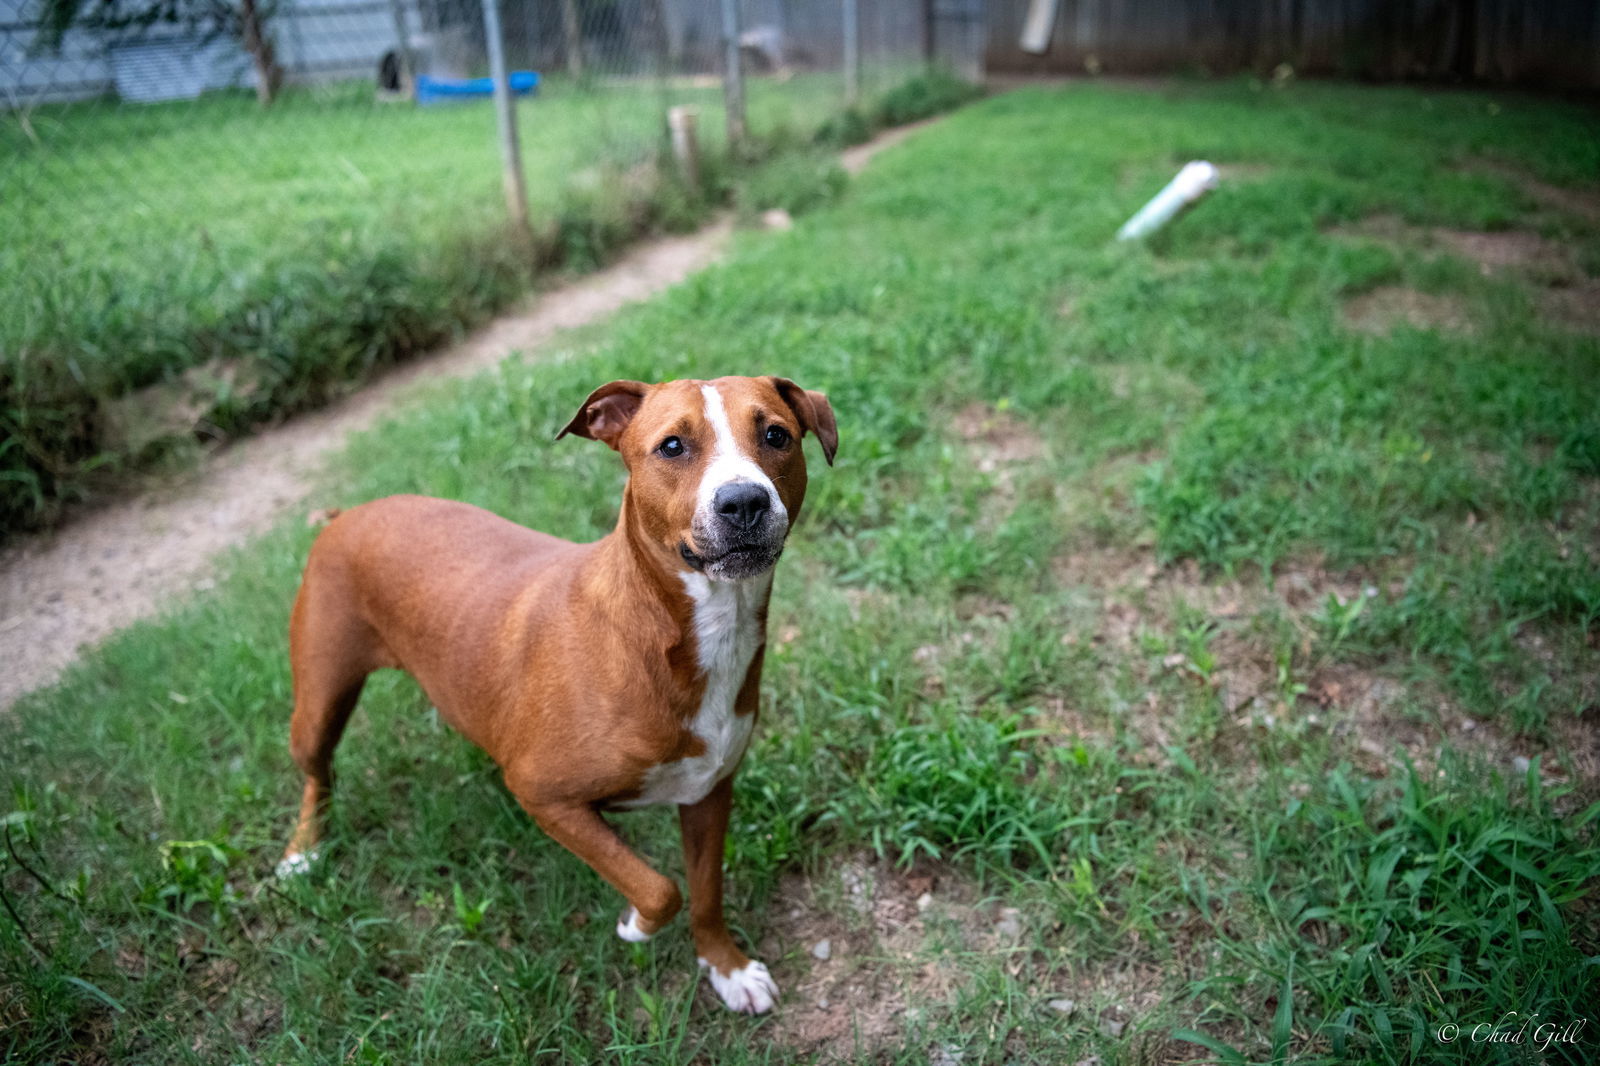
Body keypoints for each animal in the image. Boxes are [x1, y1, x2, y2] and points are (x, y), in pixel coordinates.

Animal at [278, 376, 838, 1011]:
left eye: (777, 435)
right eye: (672, 446)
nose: (743, 501)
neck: (680, 631)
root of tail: (350, 513)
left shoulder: (708, 794)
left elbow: (703, 892)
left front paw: (727, 968)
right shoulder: (545, 796)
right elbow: (658, 888)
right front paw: (637, 927)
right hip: (318, 702)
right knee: (318, 772)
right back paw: (302, 851)